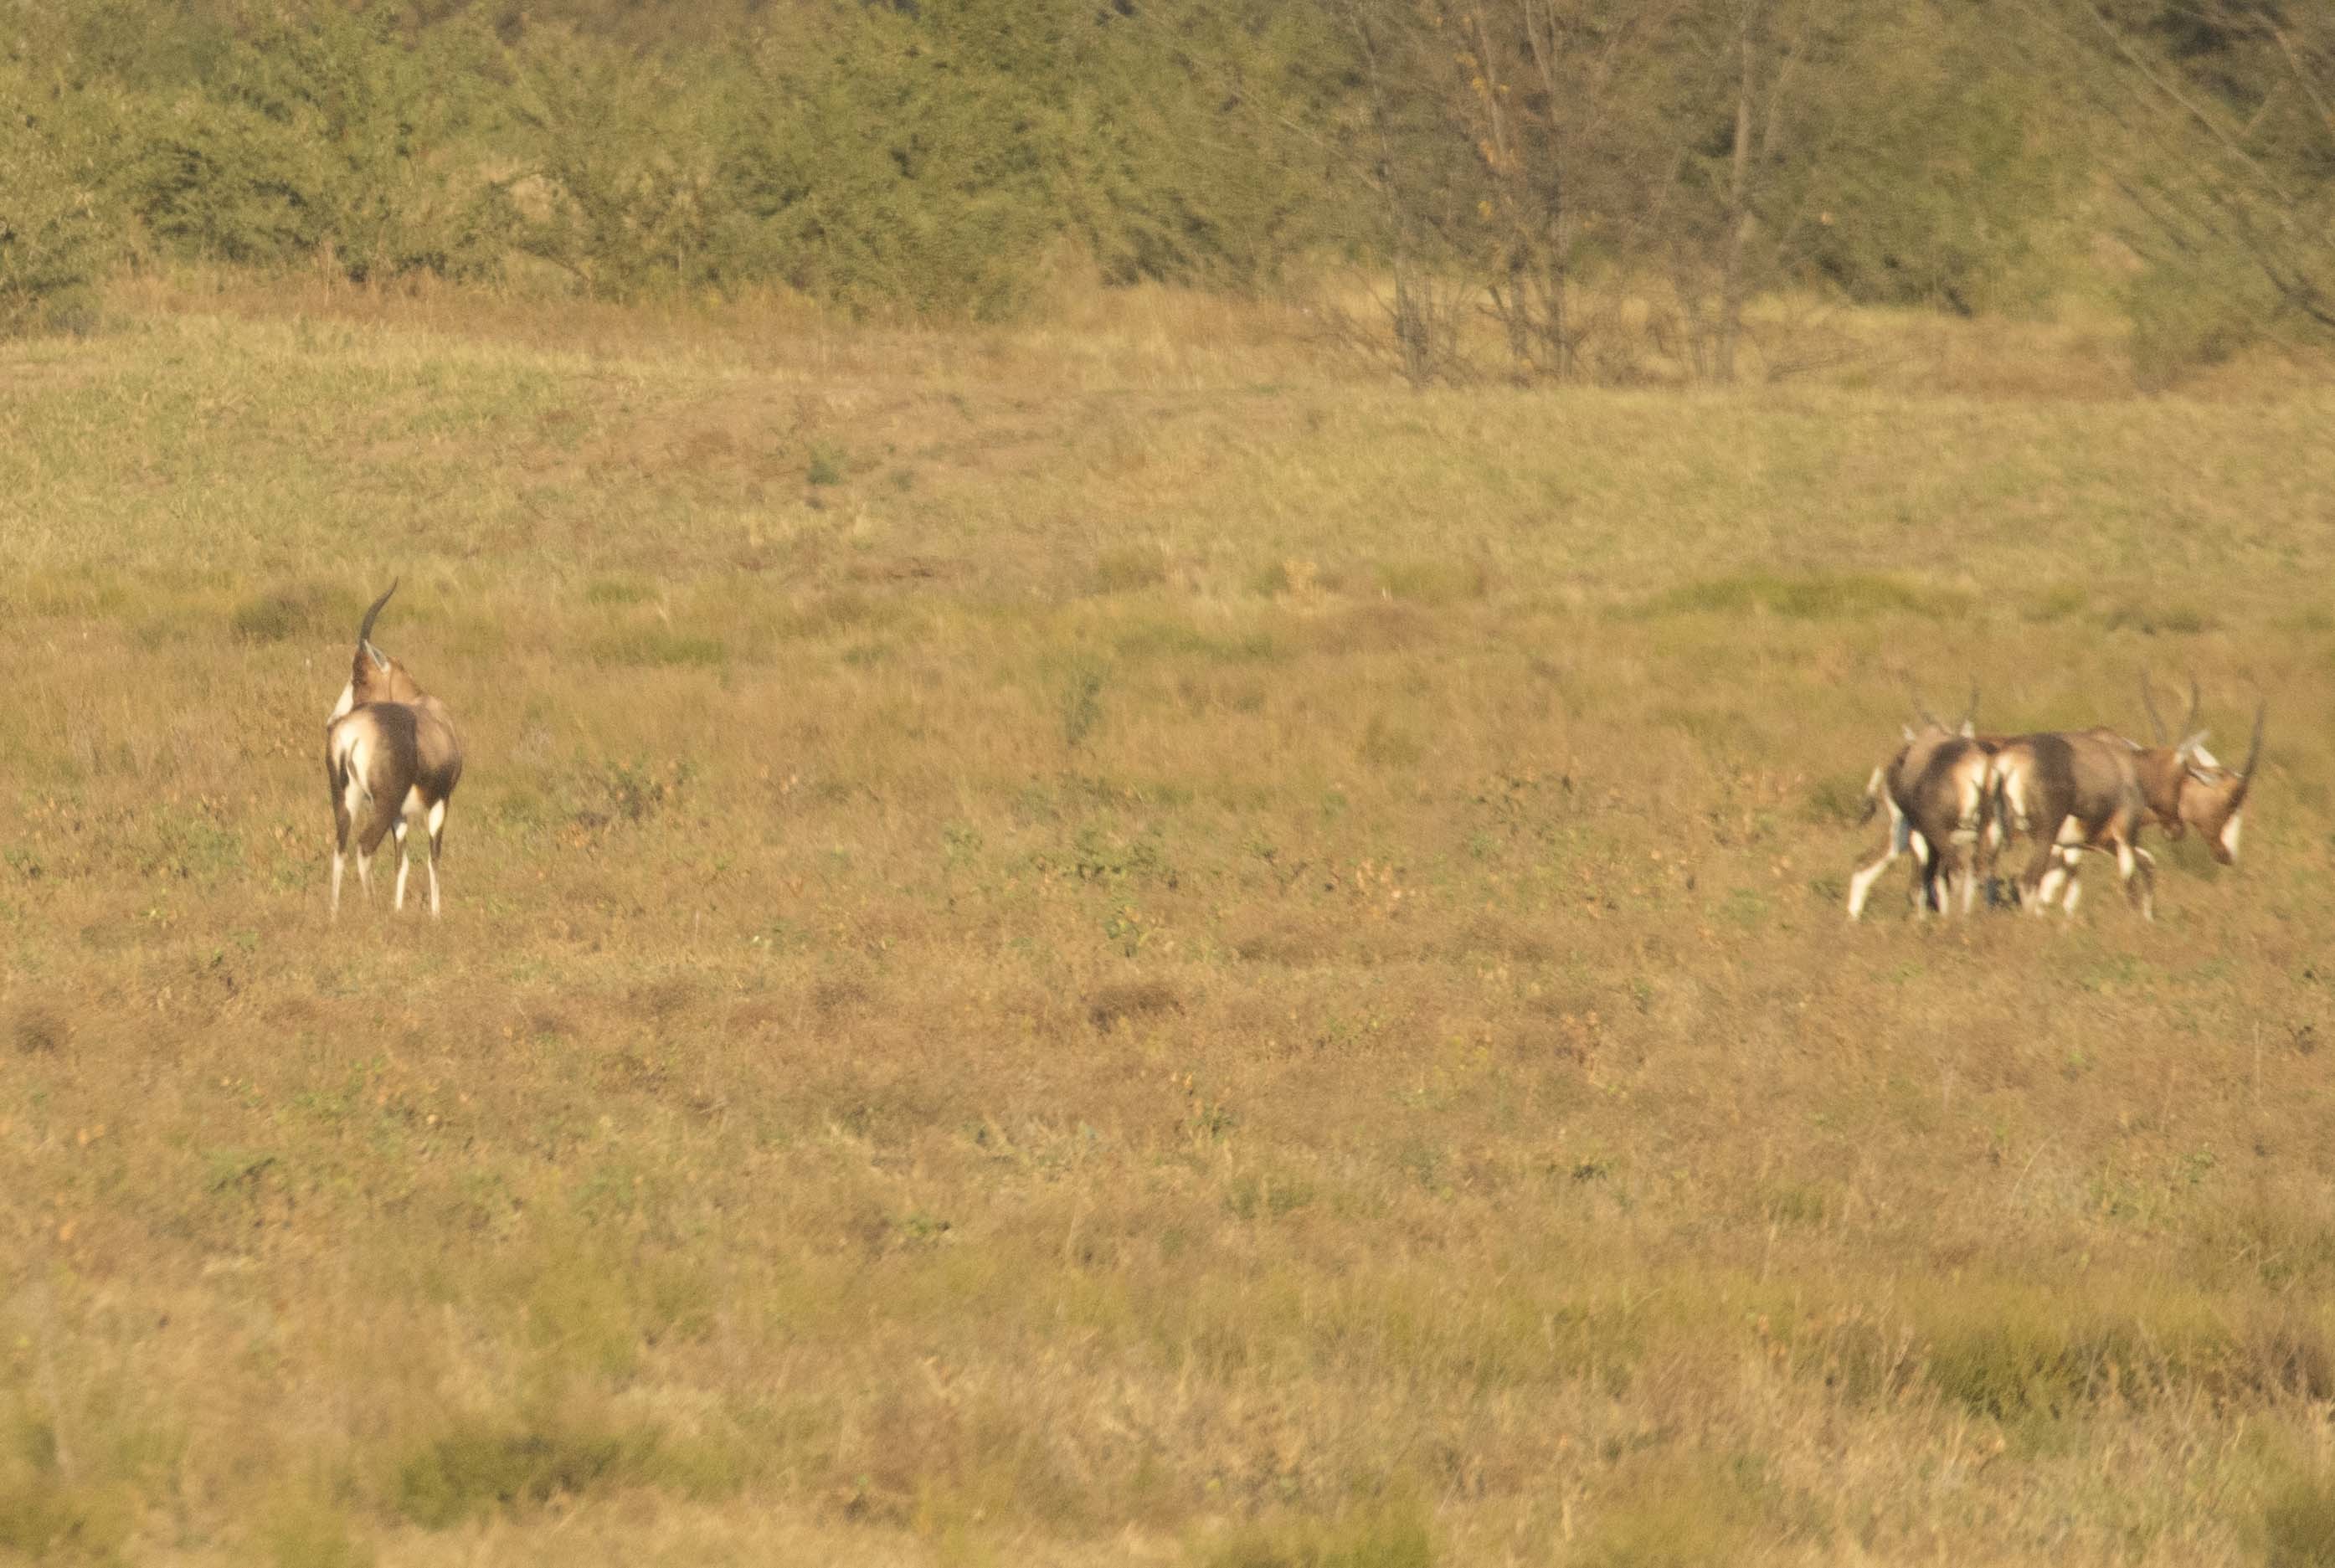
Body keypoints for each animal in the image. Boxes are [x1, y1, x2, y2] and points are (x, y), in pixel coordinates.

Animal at [324, 578, 460, 919]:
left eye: (358, 676)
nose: (331, 720)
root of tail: (353, 733)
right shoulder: (440, 802)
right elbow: (433, 857)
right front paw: (435, 915)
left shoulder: (401, 814)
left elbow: (402, 861)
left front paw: (398, 909)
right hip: (381, 806)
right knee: (363, 847)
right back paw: (372, 909)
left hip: (345, 801)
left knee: (340, 848)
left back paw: (334, 914)